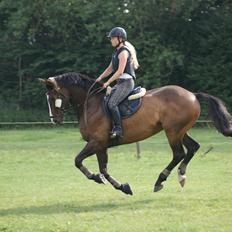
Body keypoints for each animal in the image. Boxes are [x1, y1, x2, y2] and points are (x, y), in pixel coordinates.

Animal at [38, 73, 232, 196]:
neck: (90, 103)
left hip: (172, 131)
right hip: (179, 131)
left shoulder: (96, 142)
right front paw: (121, 186)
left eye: (53, 97)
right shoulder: (101, 146)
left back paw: (160, 180)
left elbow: (78, 161)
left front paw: (98, 179)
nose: (54, 120)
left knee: (179, 153)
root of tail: (192, 94)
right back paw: (181, 175)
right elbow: (103, 169)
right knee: (192, 148)